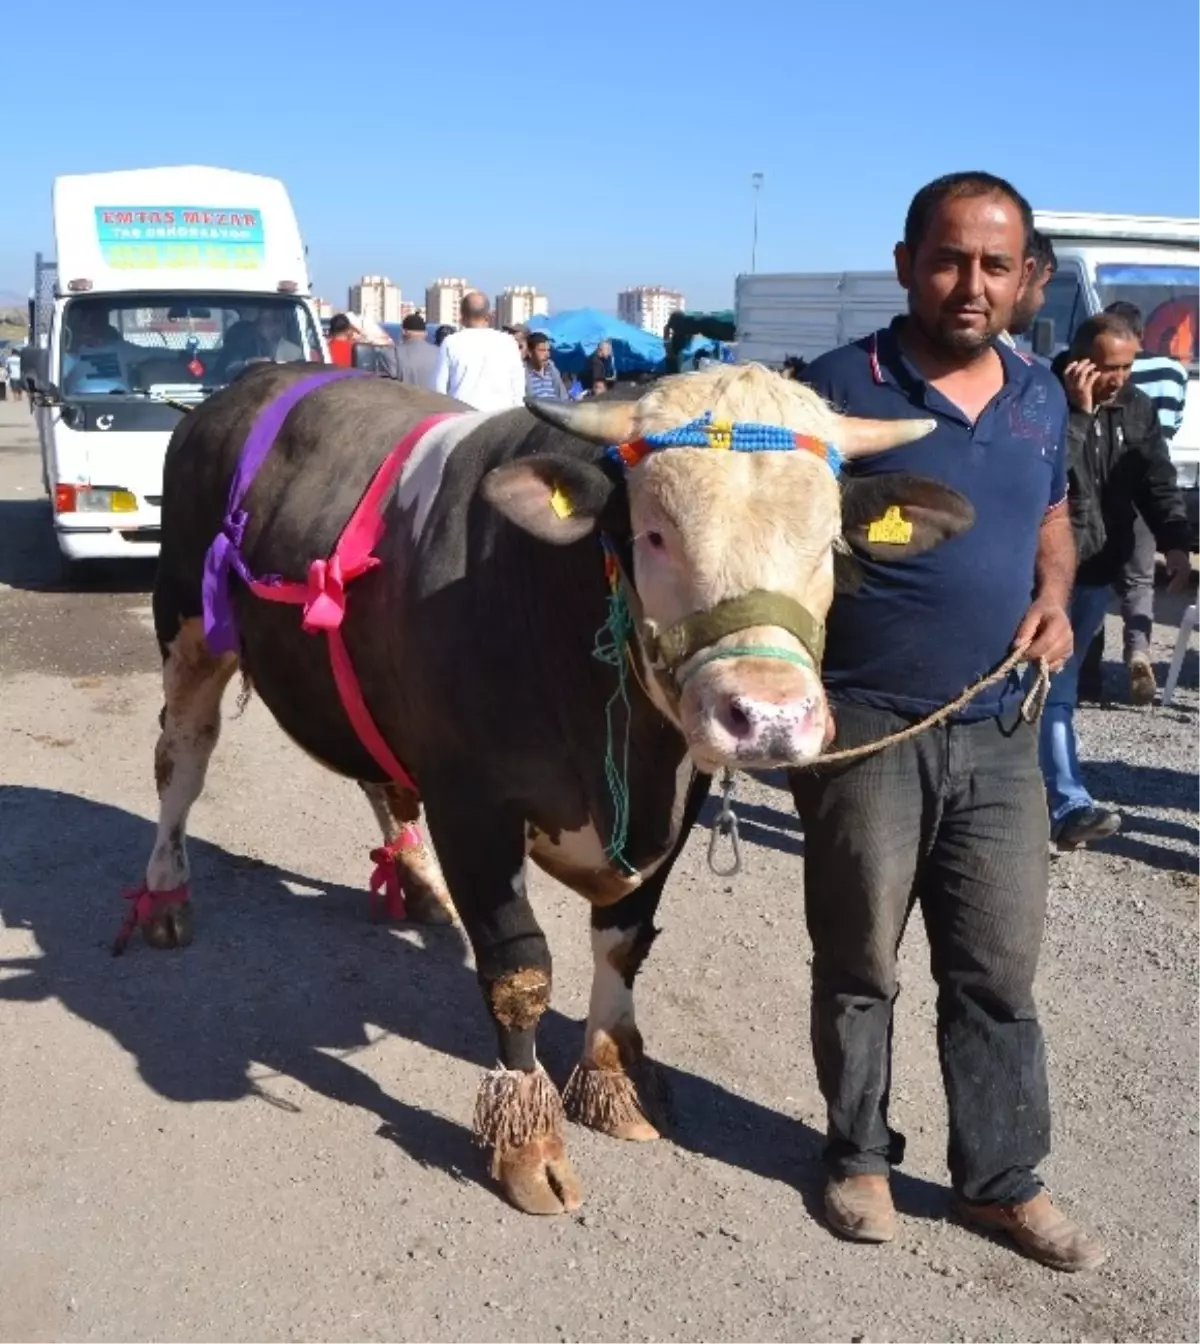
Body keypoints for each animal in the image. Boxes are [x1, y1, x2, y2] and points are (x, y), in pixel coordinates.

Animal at [140, 362, 967, 1214]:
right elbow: (519, 971)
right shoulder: (472, 808)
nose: (769, 716)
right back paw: (166, 895)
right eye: (655, 533)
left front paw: (610, 1082)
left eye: (826, 543)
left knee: (378, 779)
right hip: (187, 626)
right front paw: (528, 1142)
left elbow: (623, 944)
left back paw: (417, 884)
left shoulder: (678, 800)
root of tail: (255, 380)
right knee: (181, 759)